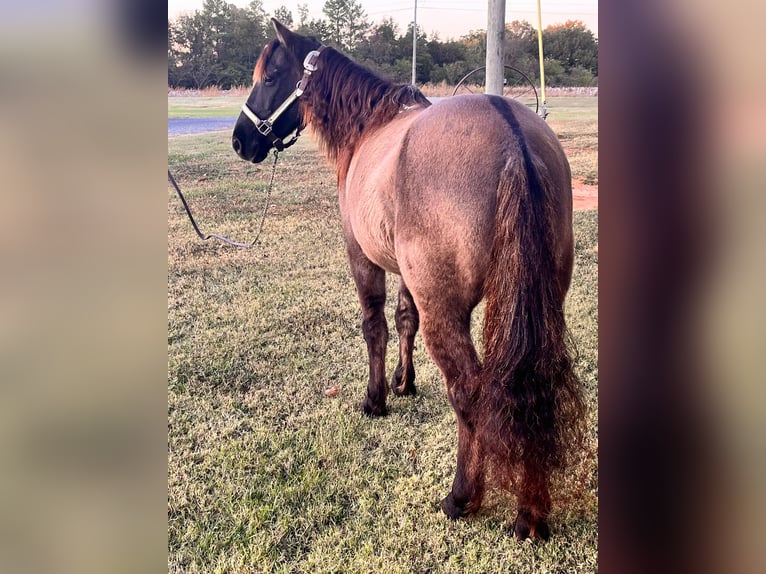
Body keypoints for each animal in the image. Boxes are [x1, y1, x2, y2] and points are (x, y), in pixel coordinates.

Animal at [231, 20, 584, 544]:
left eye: (270, 76)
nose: (240, 140)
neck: (370, 126)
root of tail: (512, 135)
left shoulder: (362, 257)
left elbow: (375, 326)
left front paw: (376, 397)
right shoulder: (405, 272)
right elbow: (403, 319)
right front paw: (404, 382)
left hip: (448, 312)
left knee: (470, 393)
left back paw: (462, 497)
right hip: (542, 306)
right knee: (534, 389)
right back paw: (531, 513)